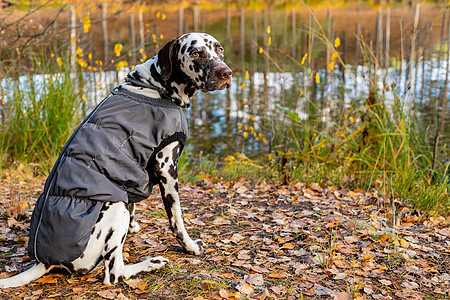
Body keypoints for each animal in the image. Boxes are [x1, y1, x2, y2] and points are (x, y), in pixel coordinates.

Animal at [0, 31, 232, 288]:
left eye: (220, 49)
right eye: (195, 53)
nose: (226, 73)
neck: (156, 87)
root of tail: (44, 261)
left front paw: (134, 226)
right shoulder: (167, 169)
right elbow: (177, 220)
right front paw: (190, 247)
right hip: (116, 207)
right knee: (113, 274)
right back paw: (150, 264)